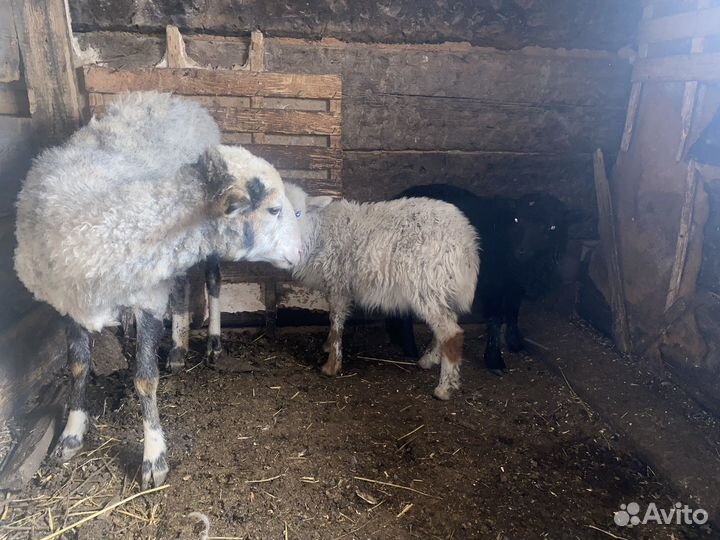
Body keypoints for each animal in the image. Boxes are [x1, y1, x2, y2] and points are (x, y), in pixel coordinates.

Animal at [14, 92, 302, 488]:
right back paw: (177, 348)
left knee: (211, 282)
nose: (301, 252)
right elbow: (77, 366)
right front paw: (71, 435)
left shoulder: (148, 299)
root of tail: (168, 96)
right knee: (179, 285)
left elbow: (145, 380)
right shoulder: (68, 303)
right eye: (274, 209)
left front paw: (154, 458)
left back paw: (211, 345)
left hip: (202, 255)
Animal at [283, 184, 480, 400]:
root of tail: (467, 242)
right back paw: (429, 359)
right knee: (446, 325)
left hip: (427, 286)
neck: (319, 231)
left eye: (298, 213)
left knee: (452, 333)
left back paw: (444, 388)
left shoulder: (338, 284)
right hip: (442, 288)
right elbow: (333, 320)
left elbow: (336, 321)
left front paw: (331, 365)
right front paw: (327, 346)